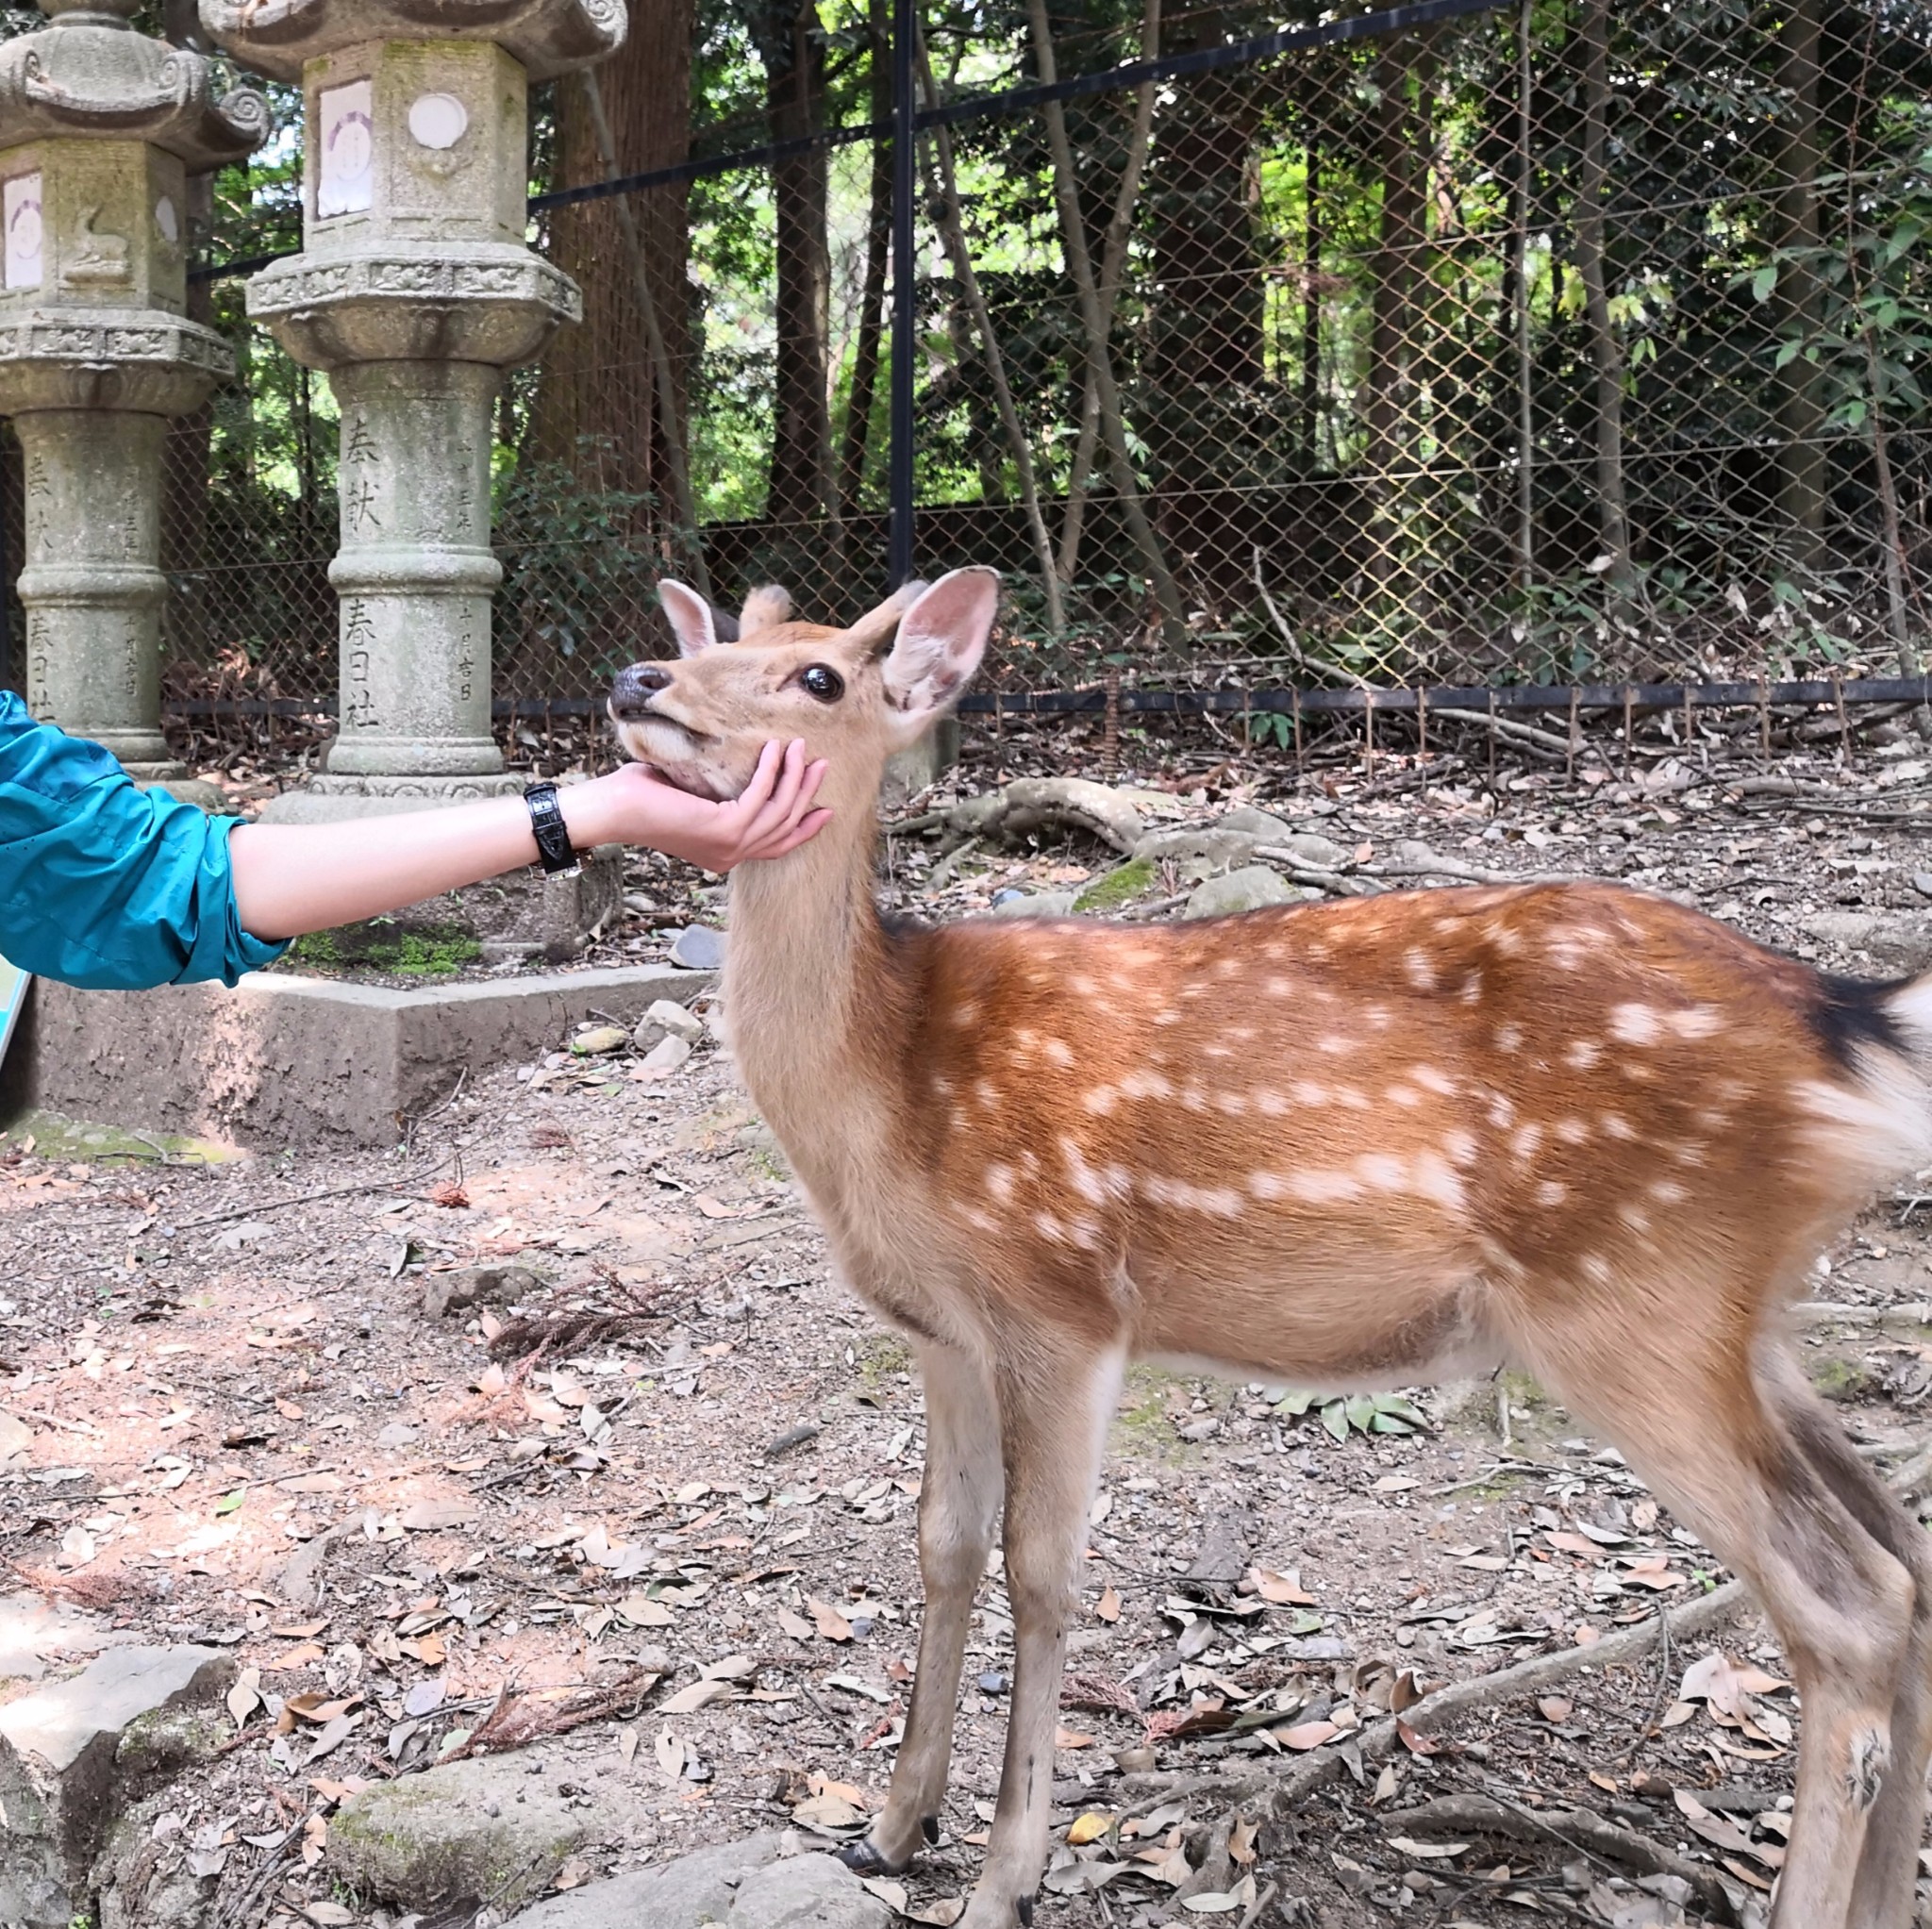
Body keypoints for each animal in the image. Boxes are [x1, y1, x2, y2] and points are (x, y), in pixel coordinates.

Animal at [610, 567, 1932, 1929]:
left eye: (819, 676)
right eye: (714, 640)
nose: (637, 680)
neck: (883, 1091)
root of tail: (1844, 1020)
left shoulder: (1061, 1297)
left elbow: (1041, 1566)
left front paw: (1004, 1878)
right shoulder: (943, 1332)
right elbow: (943, 1543)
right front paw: (888, 1827)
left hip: (1628, 1295)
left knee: (1847, 1601)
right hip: (1740, 1317)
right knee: (1904, 1557)